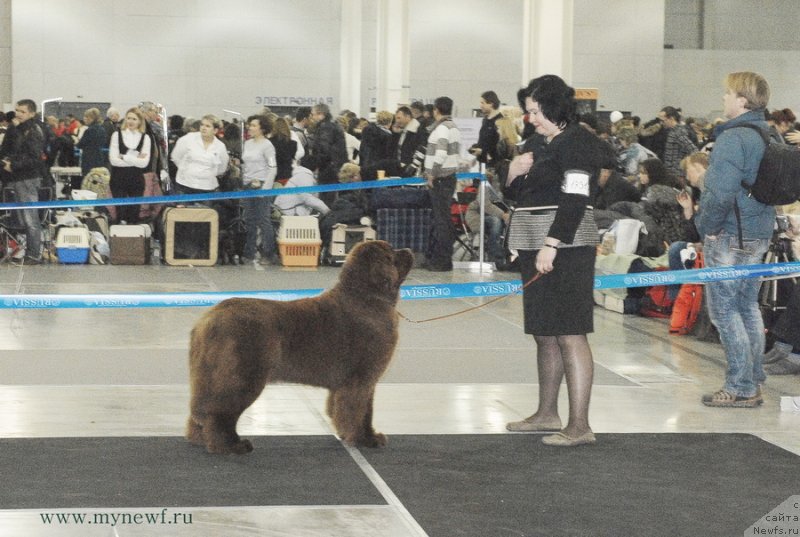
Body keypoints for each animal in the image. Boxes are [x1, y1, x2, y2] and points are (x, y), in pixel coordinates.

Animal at [188, 241, 412, 454]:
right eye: (392, 254)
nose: (408, 249)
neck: (367, 297)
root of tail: (209, 318)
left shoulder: (357, 383)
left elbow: (353, 410)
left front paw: (360, 436)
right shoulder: (362, 378)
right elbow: (359, 411)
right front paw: (363, 439)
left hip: (207, 377)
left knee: (200, 410)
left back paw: (199, 439)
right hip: (242, 376)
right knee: (219, 413)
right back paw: (230, 446)